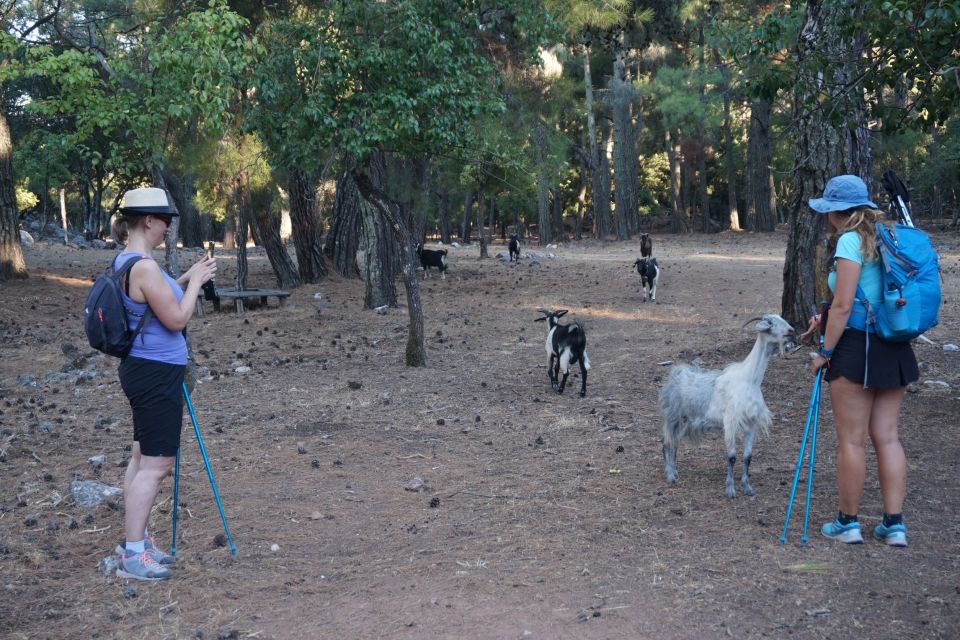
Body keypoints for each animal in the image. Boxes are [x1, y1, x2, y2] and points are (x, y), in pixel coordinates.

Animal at [660, 316, 796, 500]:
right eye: (771, 323)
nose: (792, 331)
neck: (748, 380)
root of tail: (676, 374)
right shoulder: (730, 422)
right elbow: (731, 457)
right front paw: (730, 490)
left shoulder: (751, 423)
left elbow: (747, 457)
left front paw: (748, 487)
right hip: (673, 416)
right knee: (666, 442)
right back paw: (670, 475)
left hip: (686, 420)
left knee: (675, 443)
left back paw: (675, 471)